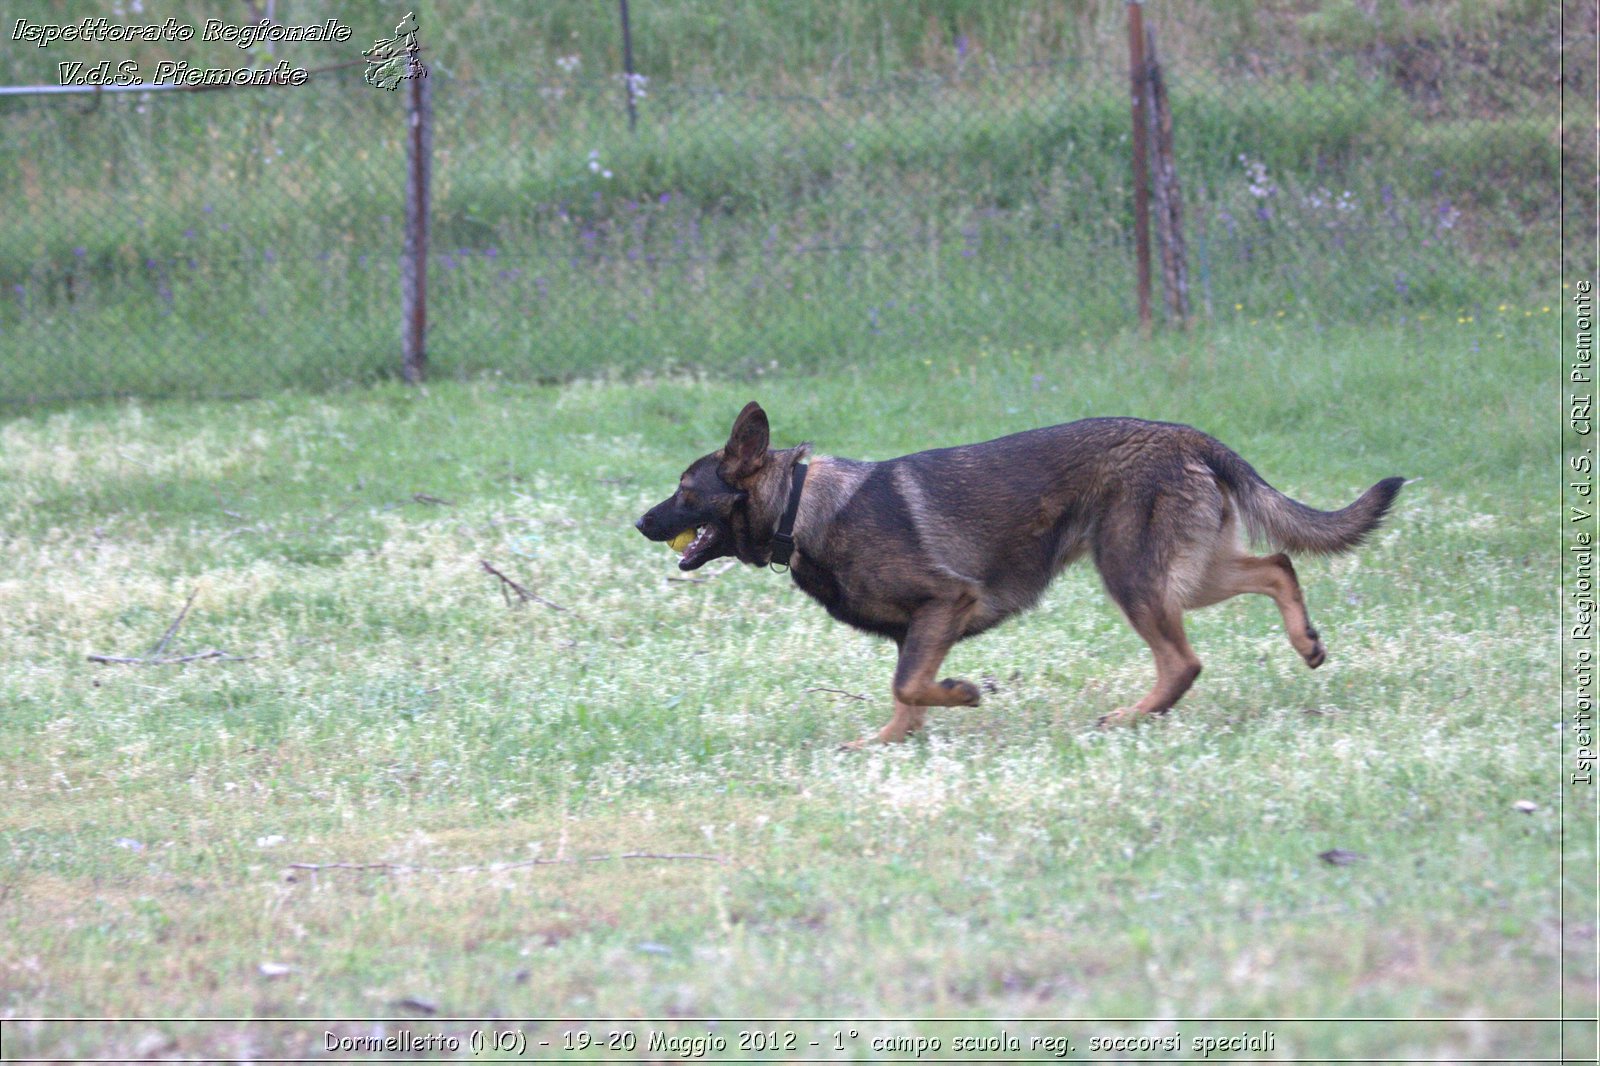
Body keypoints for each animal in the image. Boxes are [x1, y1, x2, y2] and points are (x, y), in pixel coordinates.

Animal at [636, 400, 1401, 745]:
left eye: (685, 490)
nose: (640, 522)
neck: (800, 506)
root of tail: (1187, 435)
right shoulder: (917, 630)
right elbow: (902, 698)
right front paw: (887, 743)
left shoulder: (946, 602)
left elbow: (909, 684)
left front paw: (964, 693)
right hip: (1185, 571)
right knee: (1276, 564)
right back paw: (1306, 643)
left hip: (1131, 574)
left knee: (1184, 661)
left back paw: (1132, 716)